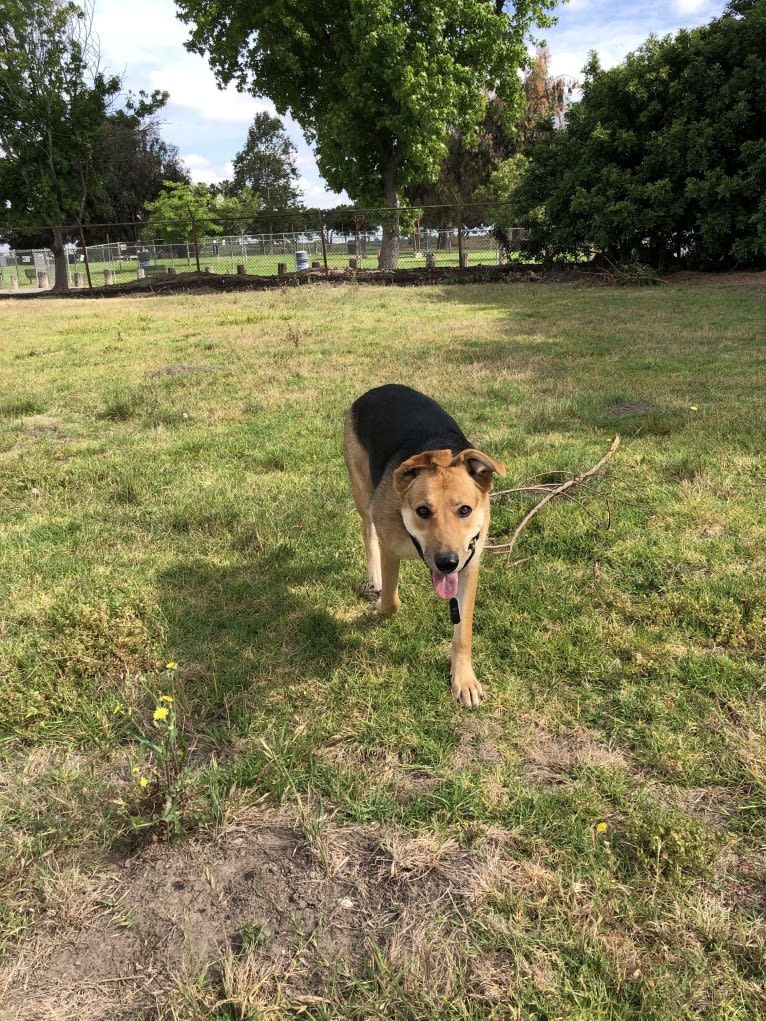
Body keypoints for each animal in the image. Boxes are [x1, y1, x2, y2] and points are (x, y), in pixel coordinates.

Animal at [345, 379, 506, 706]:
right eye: (422, 511)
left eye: (465, 510)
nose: (447, 563)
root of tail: (378, 389)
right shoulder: (390, 548)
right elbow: (391, 602)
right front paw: (378, 605)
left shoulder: (470, 566)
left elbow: (463, 633)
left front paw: (464, 678)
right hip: (361, 491)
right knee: (367, 528)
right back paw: (374, 575)